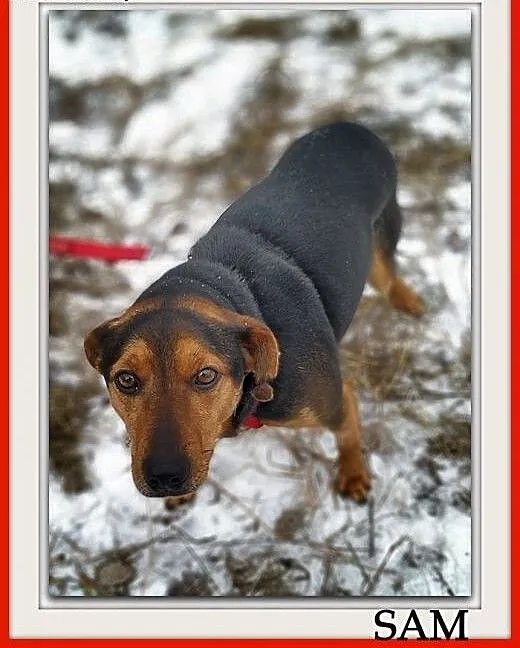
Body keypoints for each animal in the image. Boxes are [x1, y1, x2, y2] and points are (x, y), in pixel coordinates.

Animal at [84, 122, 424, 505]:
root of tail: (350, 127)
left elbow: (348, 437)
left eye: (206, 376)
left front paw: (353, 476)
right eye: (126, 380)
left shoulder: (337, 401)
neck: (231, 285)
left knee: (390, 275)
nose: (165, 477)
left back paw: (408, 301)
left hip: (381, 247)